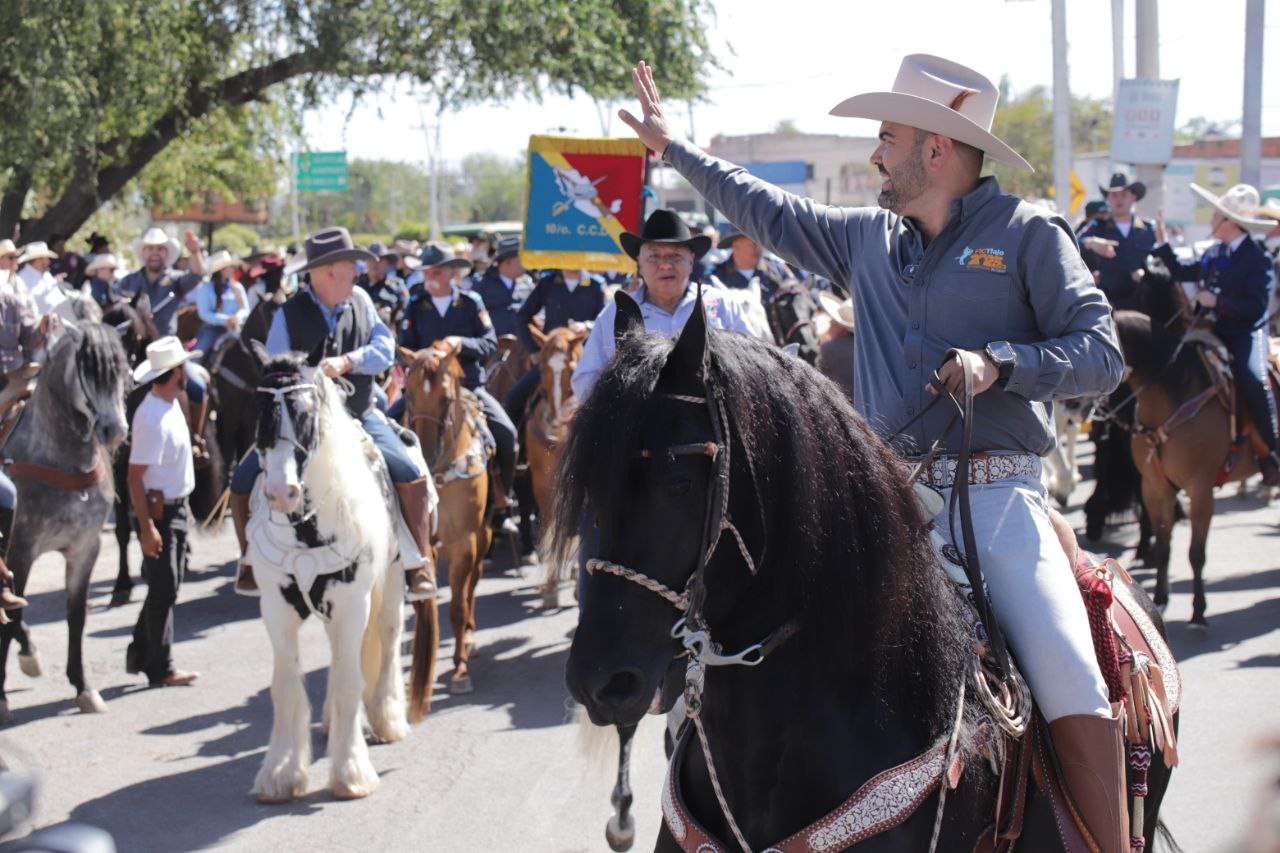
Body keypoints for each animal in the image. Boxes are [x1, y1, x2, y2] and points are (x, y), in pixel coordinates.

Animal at [0, 322, 128, 712]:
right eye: (89, 371)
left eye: (123, 370)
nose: (115, 430)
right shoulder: (20, 550)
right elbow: (13, 615)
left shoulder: (85, 549)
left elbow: (76, 615)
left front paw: (83, 686)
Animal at [247, 343, 437, 799]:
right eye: (259, 411)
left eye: (305, 413)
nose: (281, 492)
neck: (307, 527)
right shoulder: (276, 608)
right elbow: (285, 685)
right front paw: (280, 772)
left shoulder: (352, 605)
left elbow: (353, 681)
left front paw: (351, 772)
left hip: (391, 586)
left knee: (387, 643)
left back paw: (387, 717)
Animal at [399, 340, 494, 691]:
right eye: (407, 392)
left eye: (446, 398)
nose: (424, 453)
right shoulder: (424, 543)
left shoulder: (463, 541)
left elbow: (456, 604)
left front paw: (460, 668)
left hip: (483, 535)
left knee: (472, 585)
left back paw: (469, 635)